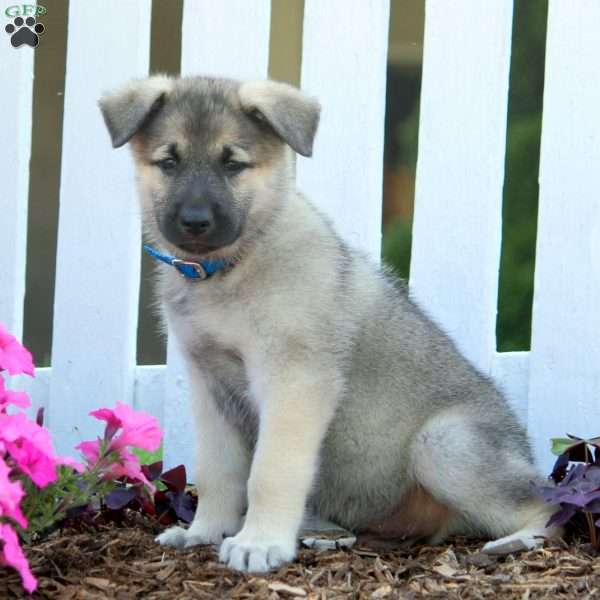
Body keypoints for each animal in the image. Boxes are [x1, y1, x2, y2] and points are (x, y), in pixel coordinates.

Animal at [99, 77, 556, 576]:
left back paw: (516, 540)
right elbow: (219, 471)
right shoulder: (211, 389)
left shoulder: (293, 382)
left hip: (445, 443)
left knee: (548, 502)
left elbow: (270, 471)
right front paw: (205, 531)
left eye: (233, 164)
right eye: (169, 162)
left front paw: (259, 542)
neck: (234, 265)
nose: (195, 222)